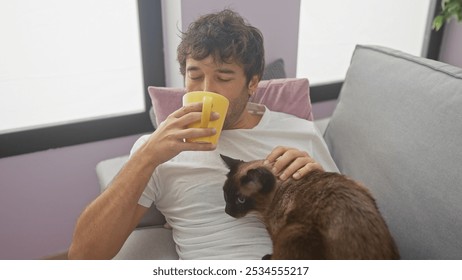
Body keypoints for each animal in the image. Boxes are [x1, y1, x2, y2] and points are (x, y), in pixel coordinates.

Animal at [222, 154, 398, 260]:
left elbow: (275, 250)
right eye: (225, 194)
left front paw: (268, 256)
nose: (227, 211)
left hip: (293, 231)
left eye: (241, 200)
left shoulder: (278, 233)